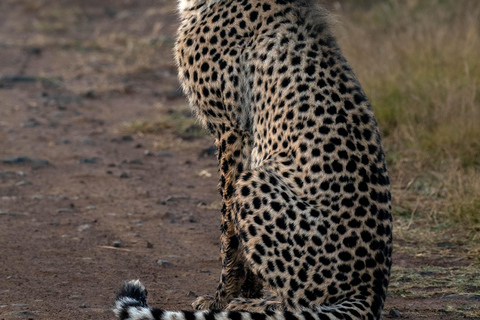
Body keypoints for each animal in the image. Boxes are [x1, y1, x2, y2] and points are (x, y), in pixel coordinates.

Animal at [114, 0, 392, 320]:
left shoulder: (232, 130)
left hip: (255, 182)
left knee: (300, 303)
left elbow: (228, 234)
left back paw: (256, 306)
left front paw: (221, 300)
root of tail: (371, 292)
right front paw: (247, 292)